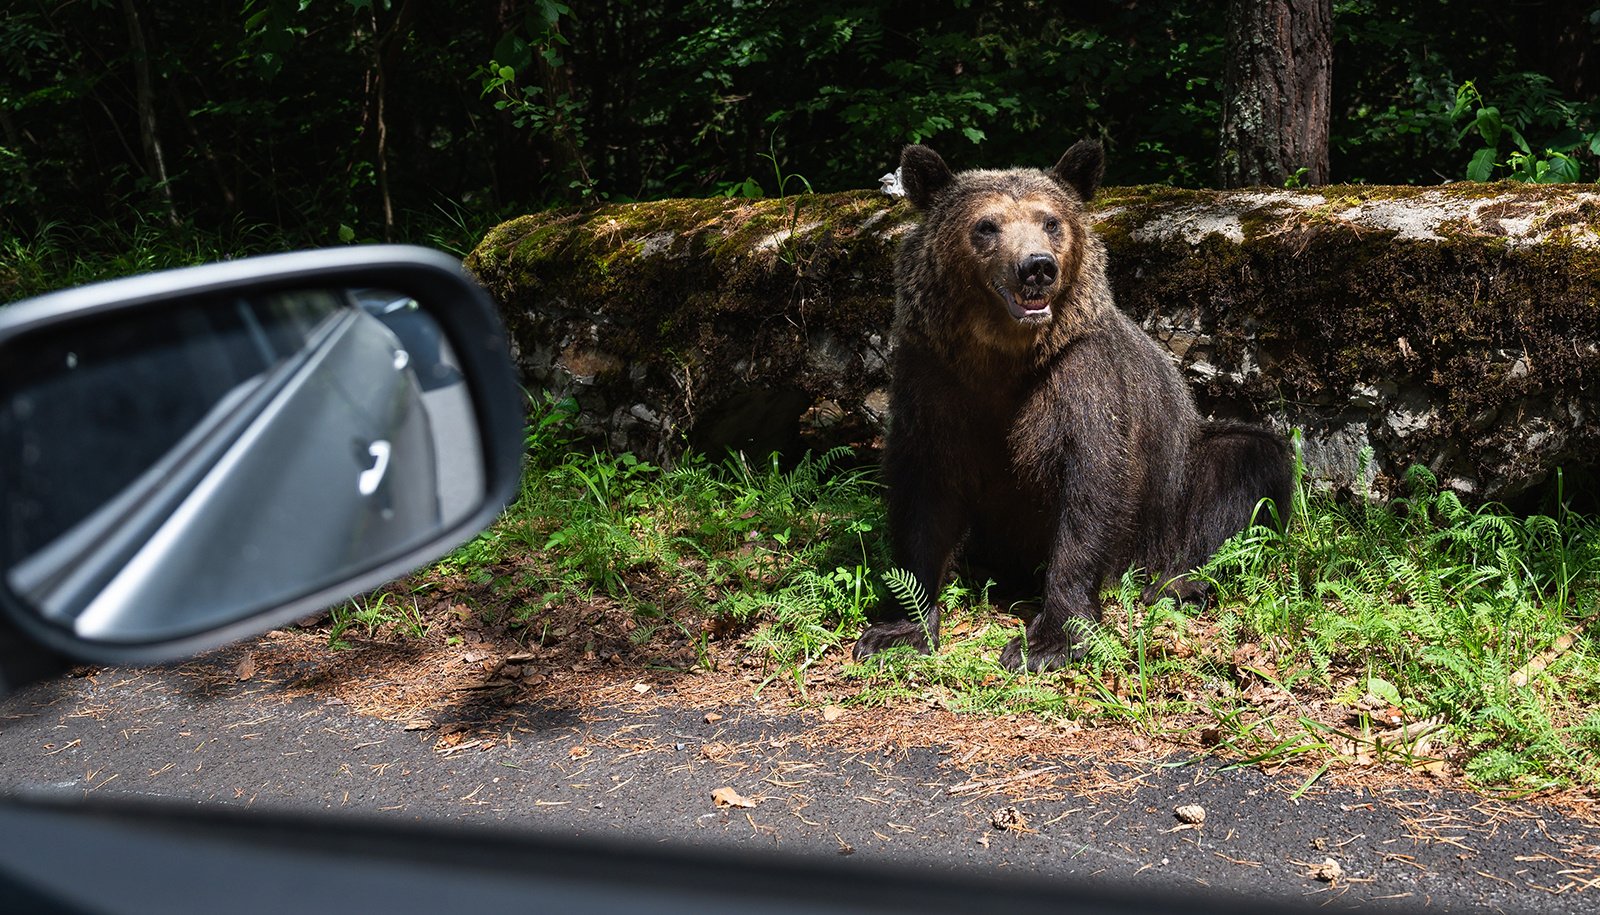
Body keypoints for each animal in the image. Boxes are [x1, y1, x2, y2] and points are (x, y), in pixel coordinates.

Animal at [857, 141, 1292, 671]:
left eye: (1051, 221)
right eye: (987, 225)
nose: (1037, 266)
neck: (1002, 357)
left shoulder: (1080, 377)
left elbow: (1090, 487)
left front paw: (1048, 639)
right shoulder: (934, 377)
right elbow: (924, 492)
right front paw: (898, 628)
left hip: (1174, 488)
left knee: (1245, 462)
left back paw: (1178, 585)